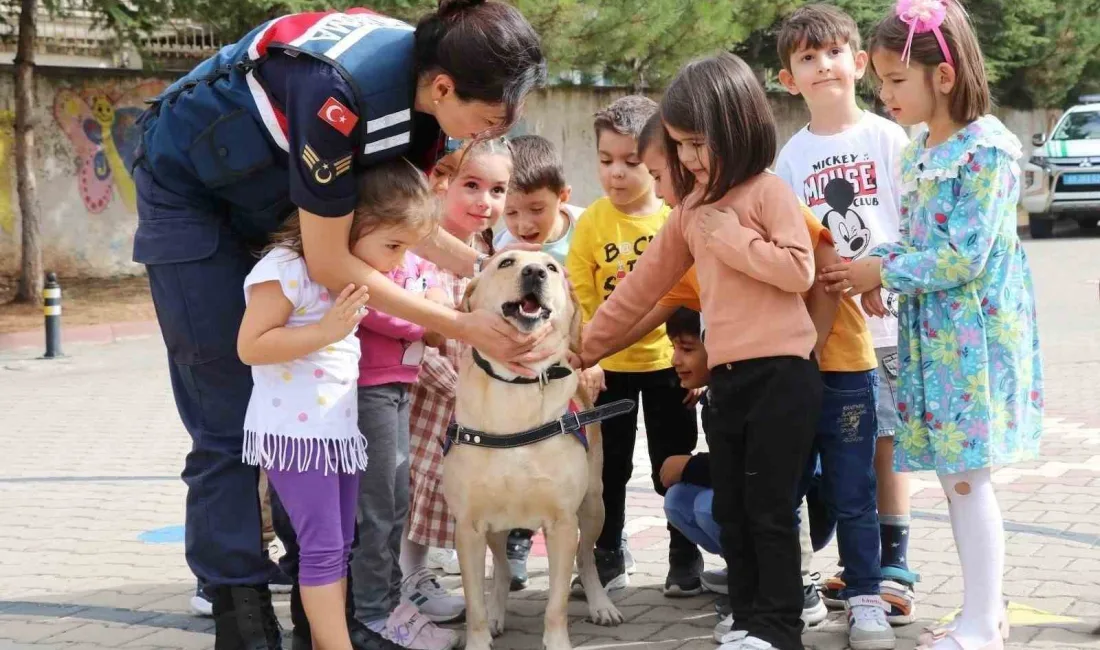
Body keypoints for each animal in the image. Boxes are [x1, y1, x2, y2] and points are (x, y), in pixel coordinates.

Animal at [440, 250, 629, 650]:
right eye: (506, 262)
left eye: (553, 268)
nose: (535, 272)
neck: (517, 387)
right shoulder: (469, 526)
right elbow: (474, 604)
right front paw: (481, 635)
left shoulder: (562, 523)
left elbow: (556, 603)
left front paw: (557, 641)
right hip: (495, 529)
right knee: (502, 569)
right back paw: (498, 612)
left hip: (594, 505)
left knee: (586, 559)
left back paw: (601, 605)